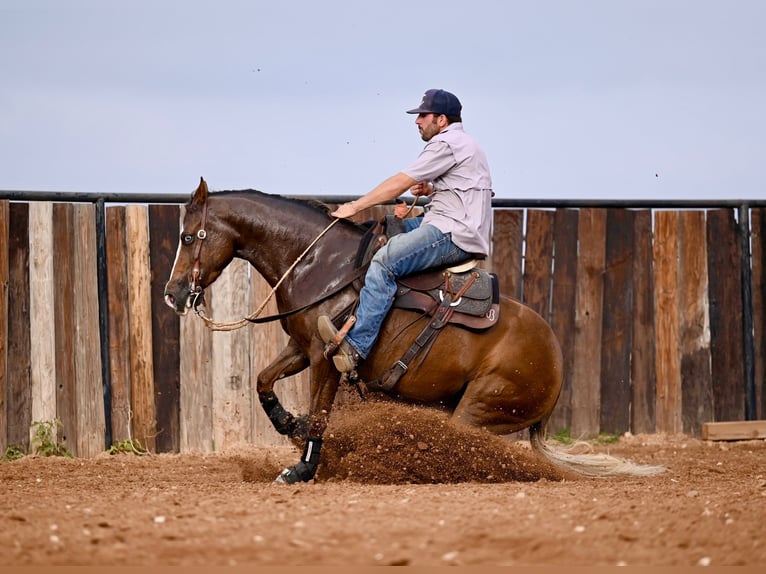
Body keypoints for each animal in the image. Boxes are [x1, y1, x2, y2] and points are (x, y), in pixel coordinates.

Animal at [164, 178, 664, 484]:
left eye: (189, 237)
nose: (172, 294)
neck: (321, 263)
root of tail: (556, 364)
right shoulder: (301, 346)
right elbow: (262, 381)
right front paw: (289, 423)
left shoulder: (327, 354)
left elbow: (321, 413)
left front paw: (302, 469)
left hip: (480, 409)